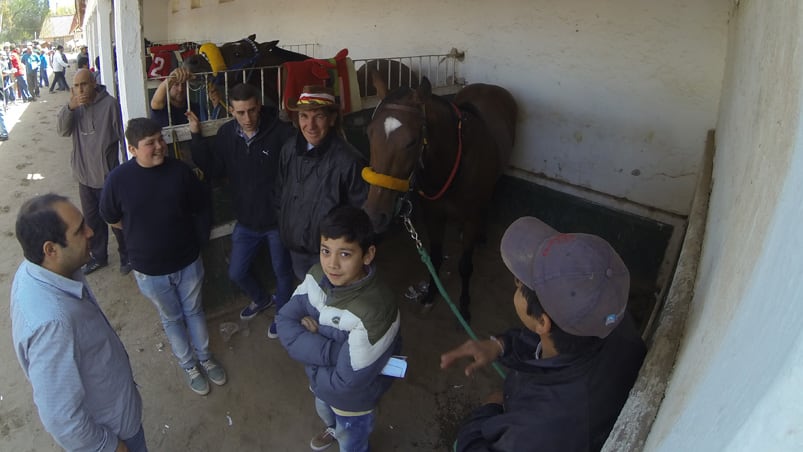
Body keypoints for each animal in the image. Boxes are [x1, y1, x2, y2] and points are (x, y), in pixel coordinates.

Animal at [362, 77, 520, 320]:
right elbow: (434, 257)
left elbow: (465, 265)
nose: (374, 216)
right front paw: (431, 294)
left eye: (412, 141)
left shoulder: (471, 217)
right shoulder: (433, 215)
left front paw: (463, 306)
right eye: (370, 133)